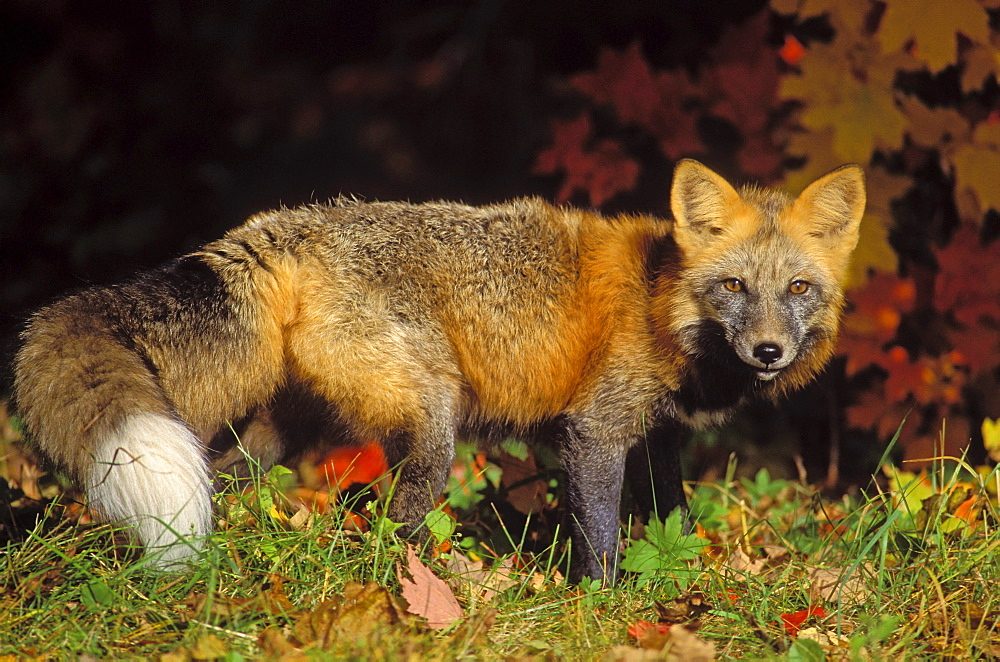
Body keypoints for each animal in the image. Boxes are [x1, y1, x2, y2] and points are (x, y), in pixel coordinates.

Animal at [11, 161, 864, 580]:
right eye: (734, 287)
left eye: (797, 290)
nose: (768, 352)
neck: (662, 301)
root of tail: (283, 224)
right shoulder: (592, 433)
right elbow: (600, 543)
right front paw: (606, 608)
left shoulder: (657, 437)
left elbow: (673, 523)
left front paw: (686, 587)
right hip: (433, 429)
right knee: (390, 524)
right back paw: (427, 589)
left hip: (282, 434)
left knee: (224, 484)